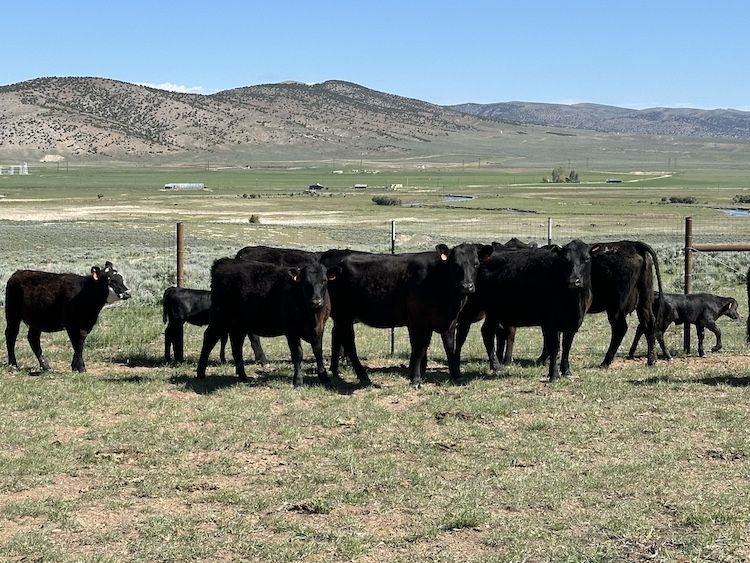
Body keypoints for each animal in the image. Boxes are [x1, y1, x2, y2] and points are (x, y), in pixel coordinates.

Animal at [196, 258, 333, 387]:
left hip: (239, 324)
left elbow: (318, 351)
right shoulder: (291, 330)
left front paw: (324, 377)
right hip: (219, 318)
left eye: (324, 281)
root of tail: (224, 262)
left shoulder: (319, 328)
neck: (312, 315)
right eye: (305, 282)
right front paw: (298, 380)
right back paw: (201, 373)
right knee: (209, 338)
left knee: (236, 345)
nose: (316, 301)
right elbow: (298, 354)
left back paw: (243, 376)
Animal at [326, 243, 493, 387]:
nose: (467, 286)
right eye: (455, 264)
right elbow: (419, 348)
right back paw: (362, 375)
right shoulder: (419, 320)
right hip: (343, 315)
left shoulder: (449, 322)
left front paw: (456, 375)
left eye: (476, 264)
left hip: (344, 317)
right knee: (348, 343)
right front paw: (416, 378)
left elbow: (448, 347)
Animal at [455, 240, 593, 381]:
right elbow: (554, 347)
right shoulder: (550, 323)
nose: (573, 281)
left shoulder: (573, 323)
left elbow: (566, 346)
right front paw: (553, 375)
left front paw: (566, 371)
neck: (574, 301)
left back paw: (496, 366)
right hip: (470, 310)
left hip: (494, 312)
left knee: (487, 331)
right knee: (461, 335)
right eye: (565, 259)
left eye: (587, 259)